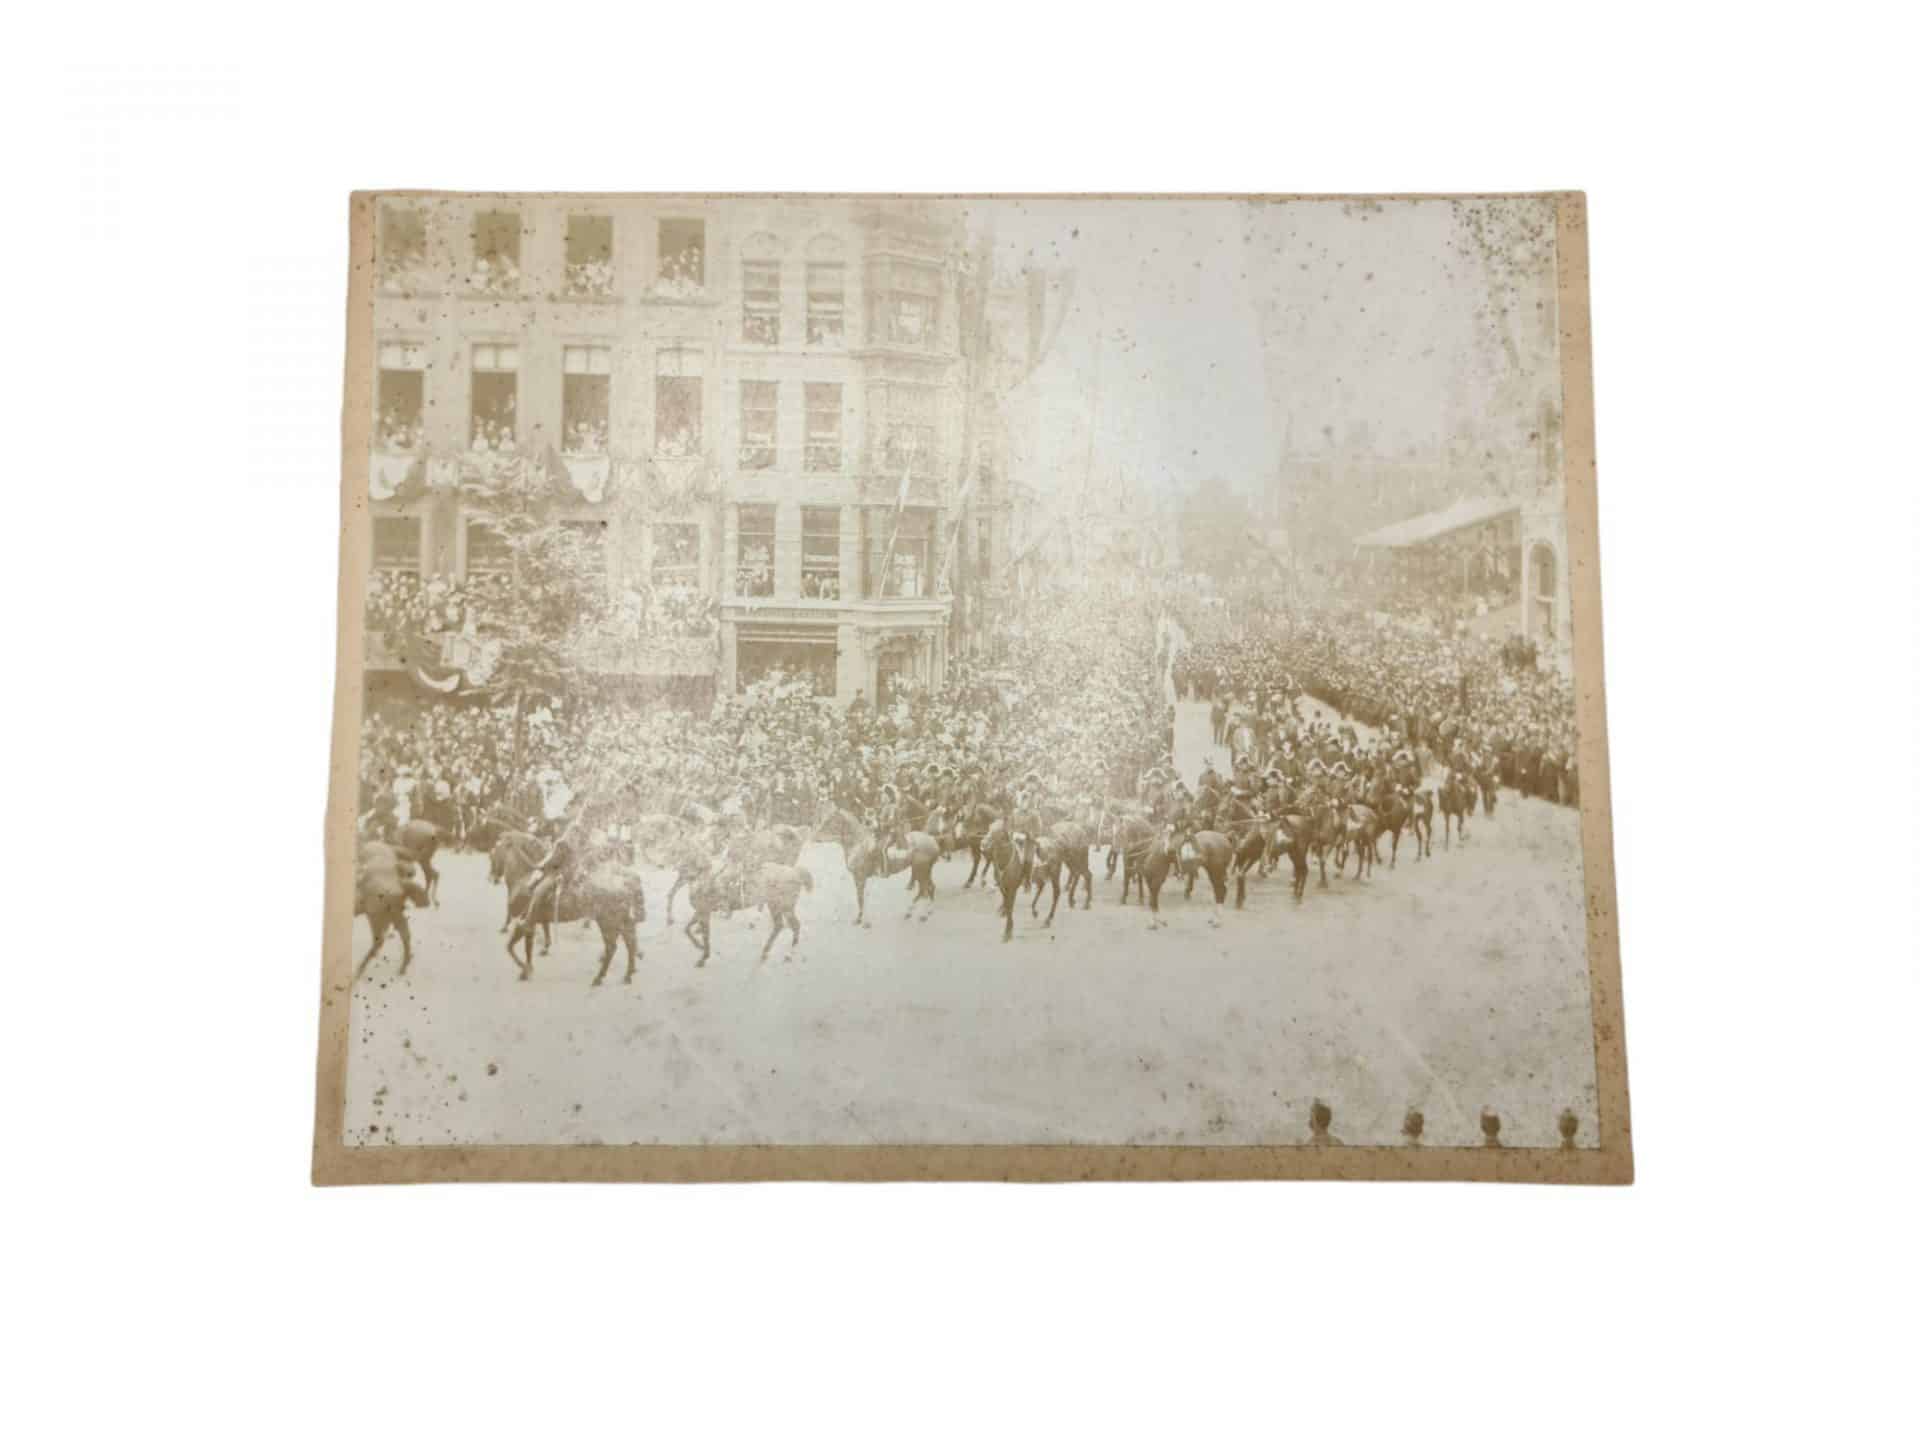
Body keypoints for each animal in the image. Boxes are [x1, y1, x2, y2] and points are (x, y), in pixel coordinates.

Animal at [506, 864, 648, 990]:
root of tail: (625, 882)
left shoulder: (526, 923)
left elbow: (512, 947)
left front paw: (525, 969)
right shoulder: (529, 923)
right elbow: (522, 946)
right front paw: (527, 970)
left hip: (607, 922)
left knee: (613, 947)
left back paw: (599, 978)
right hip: (618, 920)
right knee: (629, 941)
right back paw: (628, 974)